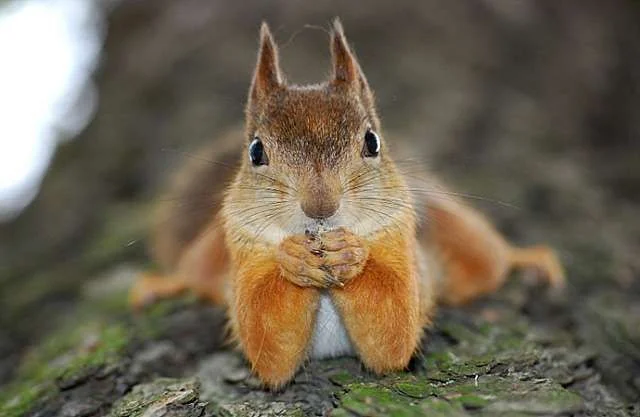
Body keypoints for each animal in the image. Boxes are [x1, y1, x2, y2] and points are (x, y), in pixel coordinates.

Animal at [130, 19, 565, 389]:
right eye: (255, 151)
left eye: (372, 142)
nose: (320, 206)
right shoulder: (244, 249)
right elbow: (268, 345)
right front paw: (293, 258)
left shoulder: (402, 245)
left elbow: (394, 330)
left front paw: (351, 254)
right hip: (210, 252)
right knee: (194, 274)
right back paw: (161, 285)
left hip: (457, 233)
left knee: (490, 261)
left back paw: (529, 258)